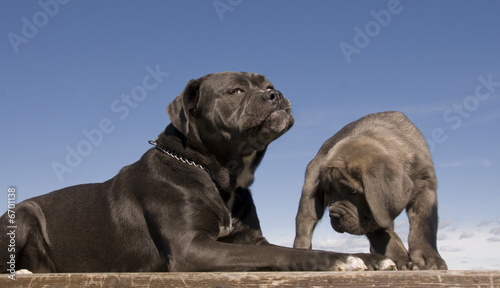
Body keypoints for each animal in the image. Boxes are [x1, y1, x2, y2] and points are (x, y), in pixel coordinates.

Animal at [0, 72, 394, 272]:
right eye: (236, 90)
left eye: (267, 84)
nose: (275, 93)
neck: (220, 176)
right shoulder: (193, 248)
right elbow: (287, 254)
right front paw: (343, 258)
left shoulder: (251, 241)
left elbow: (279, 249)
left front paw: (374, 258)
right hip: (24, 214)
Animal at [294, 111, 448, 270]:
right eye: (328, 193)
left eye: (352, 191)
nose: (335, 215)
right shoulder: (374, 213)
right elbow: (384, 236)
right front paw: (401, 258)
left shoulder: (425, 187)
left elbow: (423, 226)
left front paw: (429, 259)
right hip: (308, 199)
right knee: (304, 227)